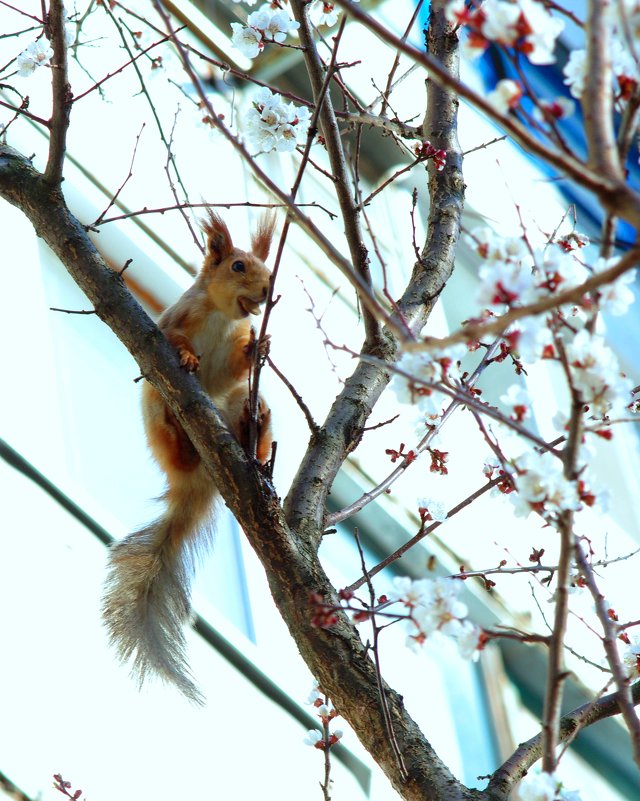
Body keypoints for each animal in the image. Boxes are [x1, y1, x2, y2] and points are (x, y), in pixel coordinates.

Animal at [102, 211, 276, 700]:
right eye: (238, 265)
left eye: (267, 268)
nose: (267, 290)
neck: (222, 315)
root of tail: (195, 483)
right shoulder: (174, 319)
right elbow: (174, 338)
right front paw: (187, 357)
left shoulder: (235, 354)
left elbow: (235, 369)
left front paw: (259, 347)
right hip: (155, 409)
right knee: (170, 437)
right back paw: (178, 437)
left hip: (236, 404)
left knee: (245, 406)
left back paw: (255, 431)